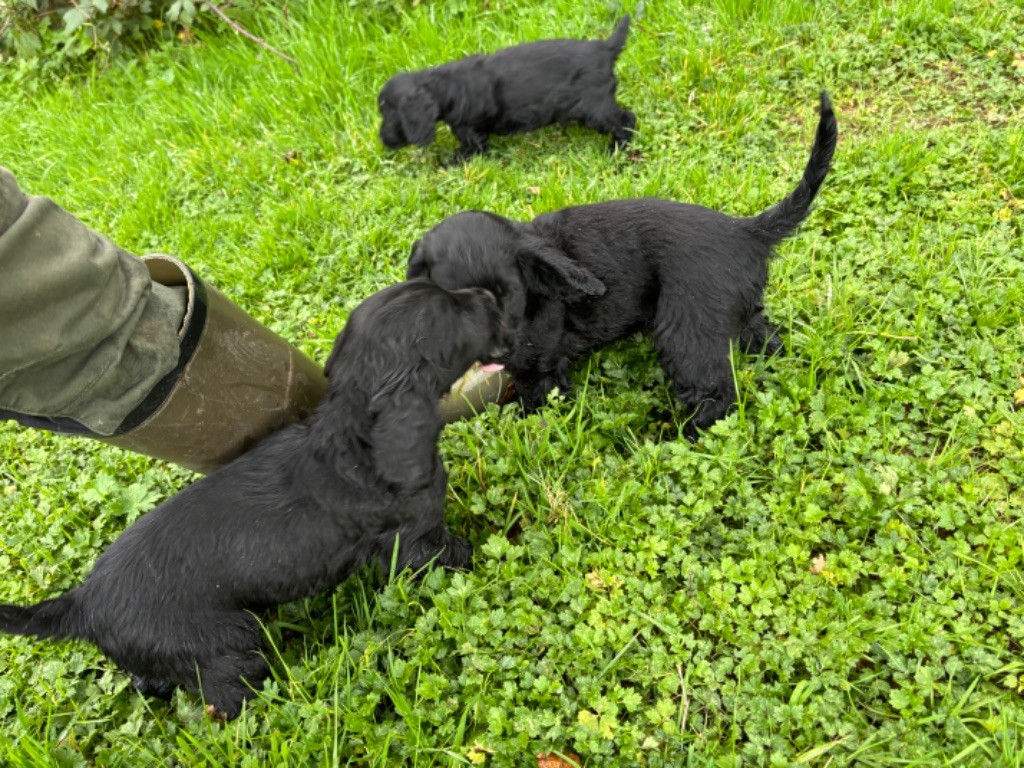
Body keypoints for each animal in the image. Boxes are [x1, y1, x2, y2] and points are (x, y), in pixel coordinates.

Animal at [0, 280, 505, 720]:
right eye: (454, 311)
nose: (488, 294)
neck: (356, 430)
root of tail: (83, 603)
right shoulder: (416, 537)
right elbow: (446, 556)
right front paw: (479, 557)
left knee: (151, 679)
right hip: (228, 640)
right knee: (227, 693)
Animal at [376, 15, 630, 162]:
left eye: (390, 116)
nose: (382, 139)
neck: (444, 87)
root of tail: (605, 49)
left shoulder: (471, 132)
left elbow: (469, 151)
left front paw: (448, 164)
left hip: (594, 108)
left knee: (626, 119)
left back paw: (616, 148)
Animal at [407, 91, 839, 434]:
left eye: (510, 295)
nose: (492, 352)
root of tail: (747, 231)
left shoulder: (540, 368)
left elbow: (537, 401)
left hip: (686, 331)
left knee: (717, 395)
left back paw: (681, 435)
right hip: (734, 312)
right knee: (763, 336)